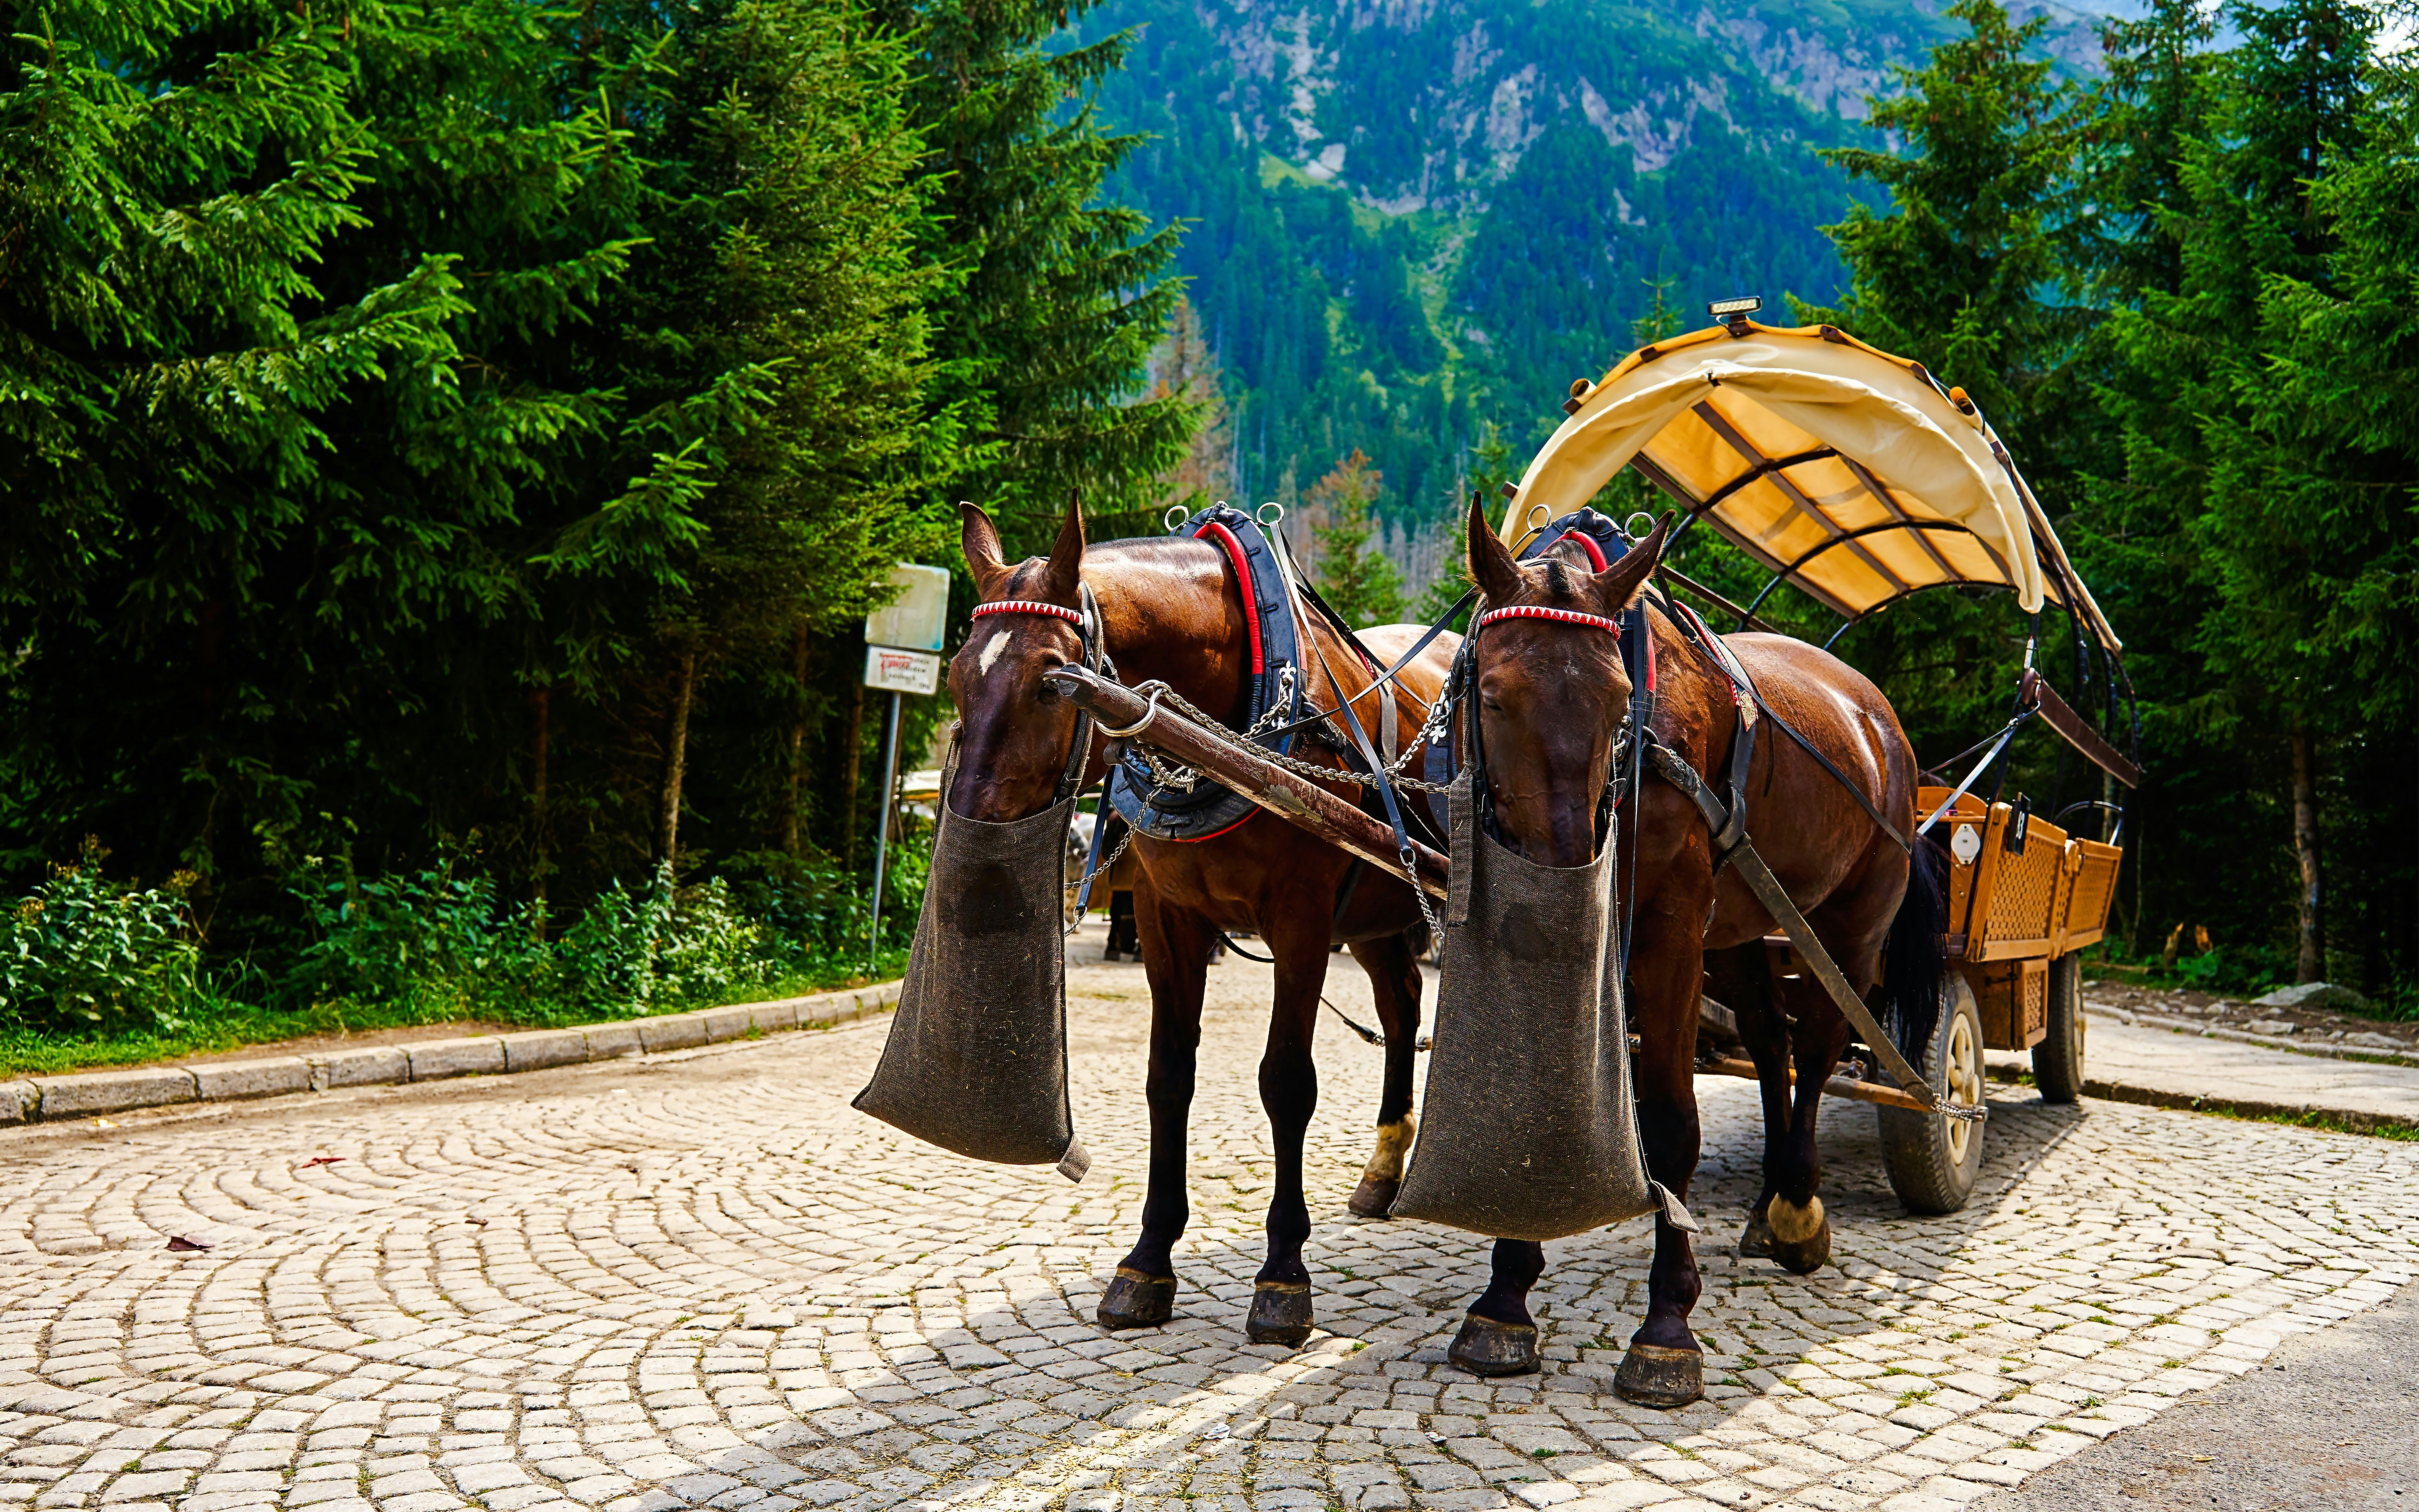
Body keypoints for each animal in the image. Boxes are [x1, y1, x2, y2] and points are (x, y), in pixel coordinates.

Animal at [947, 496, 1455, 1349]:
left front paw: (1283, 1274)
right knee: (1400, 1007)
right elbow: (1168, 1079)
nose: (972, 848)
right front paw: (1147, 1261)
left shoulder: (1300, 920)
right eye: (956, 675)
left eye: (1052, 683)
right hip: (1377, 918)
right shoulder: (1168, 918)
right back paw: (1384, 1171)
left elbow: (1286, 1082)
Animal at [1458, 498, 1943, 1406]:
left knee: (1817, 1048)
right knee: (1769, 1040)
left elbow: (1671, 1122)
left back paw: (1796, 1205)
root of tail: (1876, 714)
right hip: (1743, 926)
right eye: (1494, 696)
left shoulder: (1672, 926)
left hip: (1846, 927)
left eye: (1619, 700)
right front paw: (1505, 1295)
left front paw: (1667, 1326)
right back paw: (1770, 1199)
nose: (1567, 868)